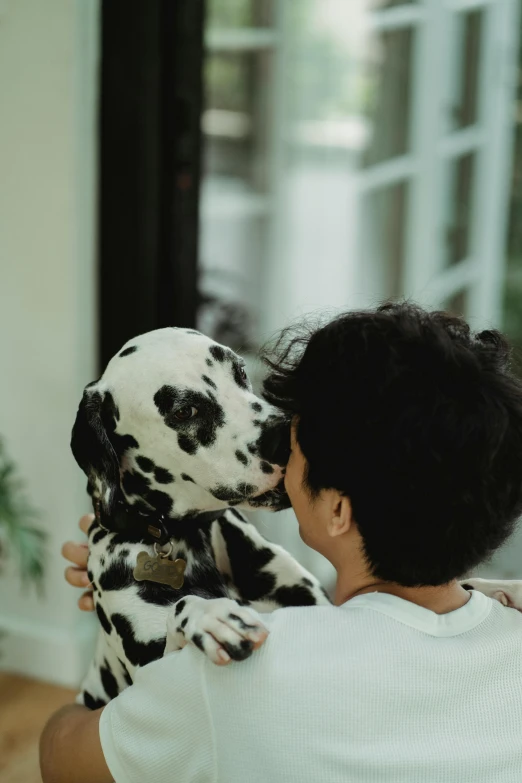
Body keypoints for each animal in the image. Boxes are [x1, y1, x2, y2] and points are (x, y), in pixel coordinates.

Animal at [71, 328, 328, 708]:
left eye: (240, 372)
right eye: (184, 411)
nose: (285, 436)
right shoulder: (150, 674)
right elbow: (183, 606)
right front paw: (212, 615)